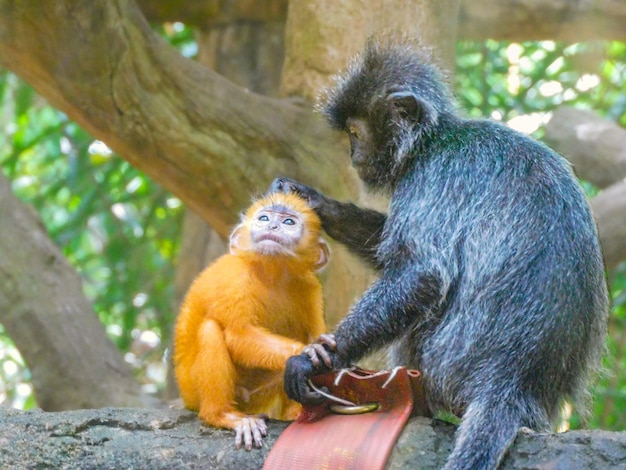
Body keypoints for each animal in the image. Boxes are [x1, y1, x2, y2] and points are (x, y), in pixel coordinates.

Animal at [171, 193, 326, 450]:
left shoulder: (308, 284)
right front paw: (305, 351)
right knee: (210, 330)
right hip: (193, 389)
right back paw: (221, 415)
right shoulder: (235, 277)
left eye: (289, 222)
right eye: (264, 218)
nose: (272, 226)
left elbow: (316, 333)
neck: (272, 274)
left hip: (257, 398)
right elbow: (238, 335)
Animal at [270, 39, 608, 470]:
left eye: (355, 132)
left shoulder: (435, 174)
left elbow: (422, 273)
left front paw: (318, 358)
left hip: (443, 361)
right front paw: (315, 201)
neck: (432, 140)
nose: (353, 153)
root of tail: (511, 384)